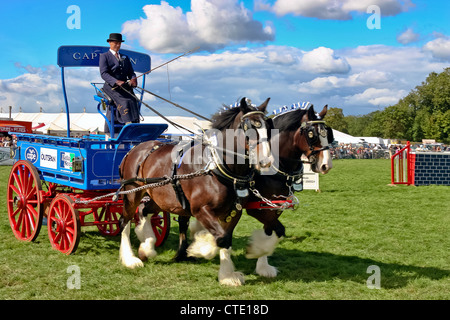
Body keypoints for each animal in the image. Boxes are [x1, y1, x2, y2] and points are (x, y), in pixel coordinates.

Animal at [117, 97, 270, 284]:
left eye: (267, 126)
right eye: (250, 127)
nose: (266, 161)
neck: (217, 167)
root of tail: (134, 149)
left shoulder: (234, 211)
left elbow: (226, 240)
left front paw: (227, 275)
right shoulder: (200, 209)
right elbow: (220, 238)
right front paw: (199, 248)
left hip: (160, 198)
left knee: (144, 211)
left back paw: (147, 246)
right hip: (132, 193)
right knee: (124, 221)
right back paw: (130, 259)